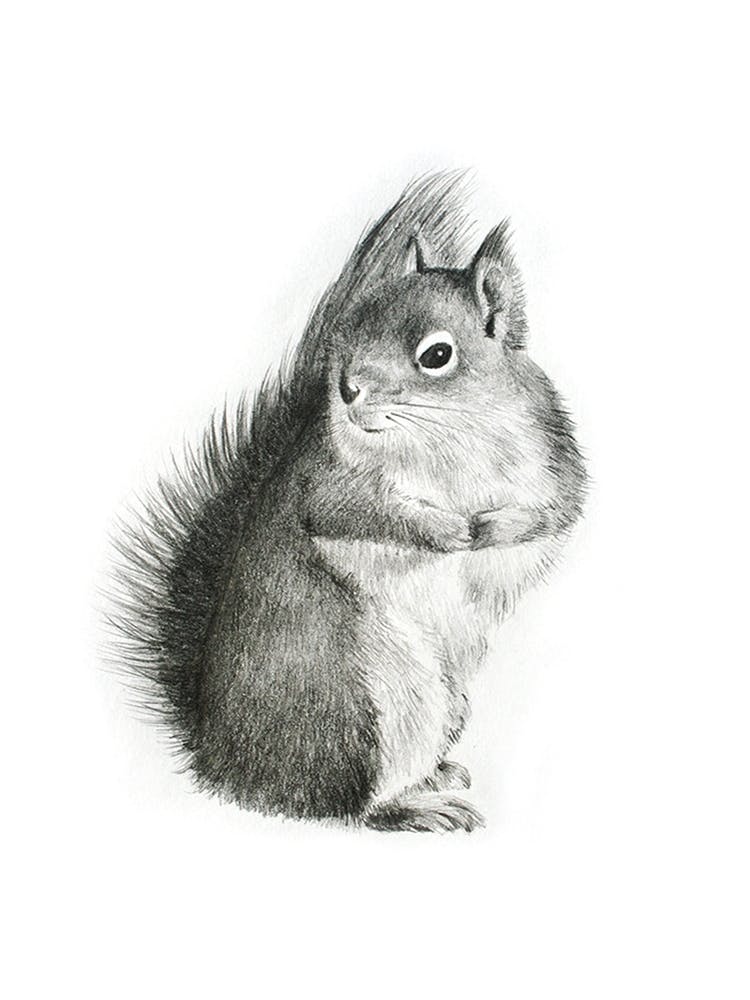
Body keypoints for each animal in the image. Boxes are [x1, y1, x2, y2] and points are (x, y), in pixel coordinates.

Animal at [109, 171, 587, 832]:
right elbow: (353, 513)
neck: (447, 433)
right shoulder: (325, 478)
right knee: (343, 806)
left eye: (437, 355)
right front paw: (447, 531)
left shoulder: (553, 453)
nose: (347, 387)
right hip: (360, 706)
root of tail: (222, 759)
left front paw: (497, 526)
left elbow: (559, 509)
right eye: (355, 323)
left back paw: (435, 778)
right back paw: (412, 809)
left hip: (434, 702)